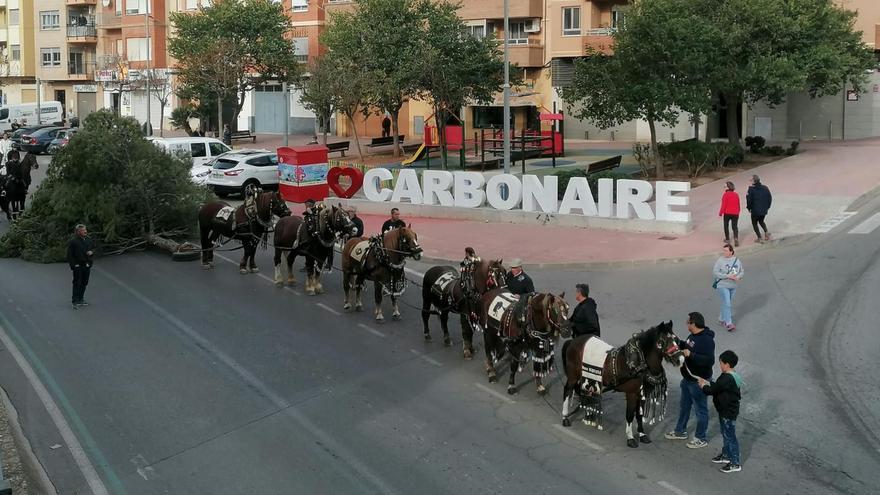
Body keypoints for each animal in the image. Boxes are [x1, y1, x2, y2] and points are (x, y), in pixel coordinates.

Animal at [560, 322, 684, 450]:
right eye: (662, 341)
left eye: (676, 339)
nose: (680, 359)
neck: (639, 362)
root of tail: (573, 341)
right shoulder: (631, 394)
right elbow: (629, 415)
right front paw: (630, 438)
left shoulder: (642, 394)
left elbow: (639, 415)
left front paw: (642, 434)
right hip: (573, 375)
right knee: (567, 390)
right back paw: (565, 417)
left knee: (587, 394)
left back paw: (589, 414)